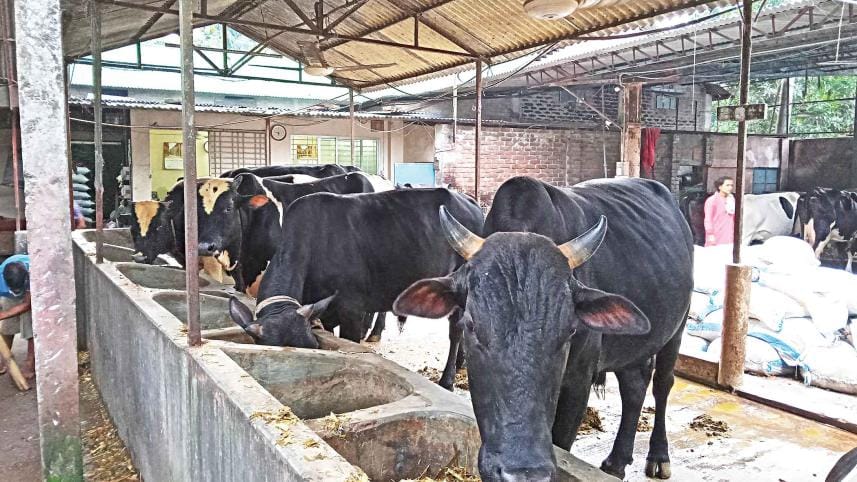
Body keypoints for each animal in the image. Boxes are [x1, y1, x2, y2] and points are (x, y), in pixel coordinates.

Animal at [228, 188, 484, 390]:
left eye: (313, 346)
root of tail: (468, 201)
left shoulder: (352, 310)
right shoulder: (326, 312)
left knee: (455, 330)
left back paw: (447, 380)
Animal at [394, 176, 693, 481]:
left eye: (570, 330)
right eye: (471, 325)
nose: (524, 472)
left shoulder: (578, 382)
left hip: (677, 331)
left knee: (662, 384)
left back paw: (658, 457)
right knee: (634, 384)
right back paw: (616, 462)